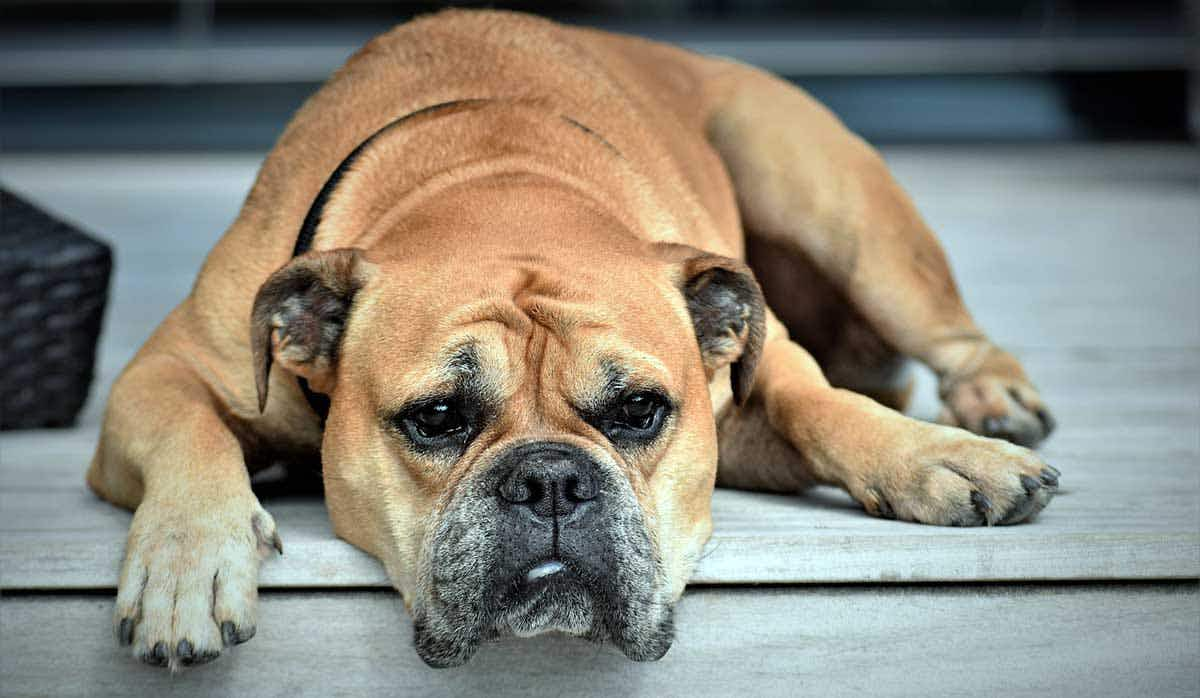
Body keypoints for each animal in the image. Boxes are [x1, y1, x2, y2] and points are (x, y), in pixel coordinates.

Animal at [88, 6, 1056, 671]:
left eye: (639, 411)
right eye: (437, 417)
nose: (551, 480)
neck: (495, 182)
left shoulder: (758, 376)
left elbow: (821, 404)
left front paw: (936, 457)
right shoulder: (161, 373)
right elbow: (189, 431)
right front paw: (186, 565)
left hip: (836, 204)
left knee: (945, 334)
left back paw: (990, 404)